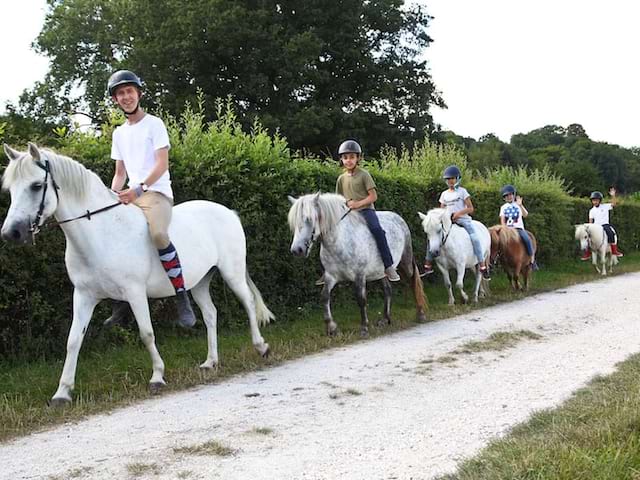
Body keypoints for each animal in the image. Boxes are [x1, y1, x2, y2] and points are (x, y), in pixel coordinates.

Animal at [0, 142, 272, 404]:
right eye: (11, 190)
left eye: (36, 186)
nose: (11, 233)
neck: (100, 232)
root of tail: (229, 212)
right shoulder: (84, 296)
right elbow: (73, 340)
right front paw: (62, 393)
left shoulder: (135, 292)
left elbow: (146, 333)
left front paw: (158, 377)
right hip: (200, 282)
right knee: (210, 314)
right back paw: (210, 362)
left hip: (232, 272)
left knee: (247, 303)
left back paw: (261, 347)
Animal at [288, 192, 428, 338]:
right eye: (293, 223)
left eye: (309, 219)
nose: (297, 250)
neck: (340, 241)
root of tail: (398, 218)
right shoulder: (331, 276)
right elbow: (324, 297)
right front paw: (332, 329)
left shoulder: (359, 275)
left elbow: (361, 299)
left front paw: (364, 328)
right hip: (380, 271)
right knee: (388, 289)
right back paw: (385, 319)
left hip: (405, 262)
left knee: (412, 281)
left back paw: (420, 314)